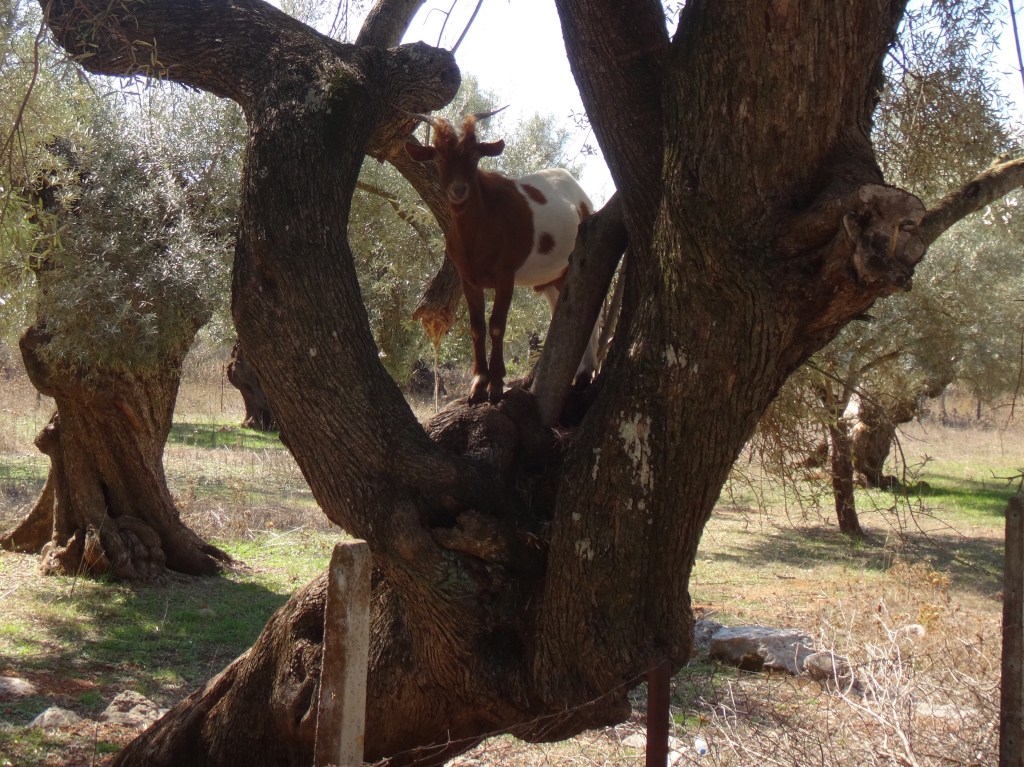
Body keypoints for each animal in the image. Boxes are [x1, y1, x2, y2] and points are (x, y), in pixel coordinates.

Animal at [405, 111, 599, 405]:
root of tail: (581, 195)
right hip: (554, 275)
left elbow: (497, 325)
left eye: (475, 157)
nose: (459, 190)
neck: (479, 232)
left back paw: (586, 374)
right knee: (563, 309)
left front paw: (496, 386)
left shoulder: (506, 276)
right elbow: (477, 327)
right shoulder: (468, 279)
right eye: (438, 159)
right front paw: (477, 386)